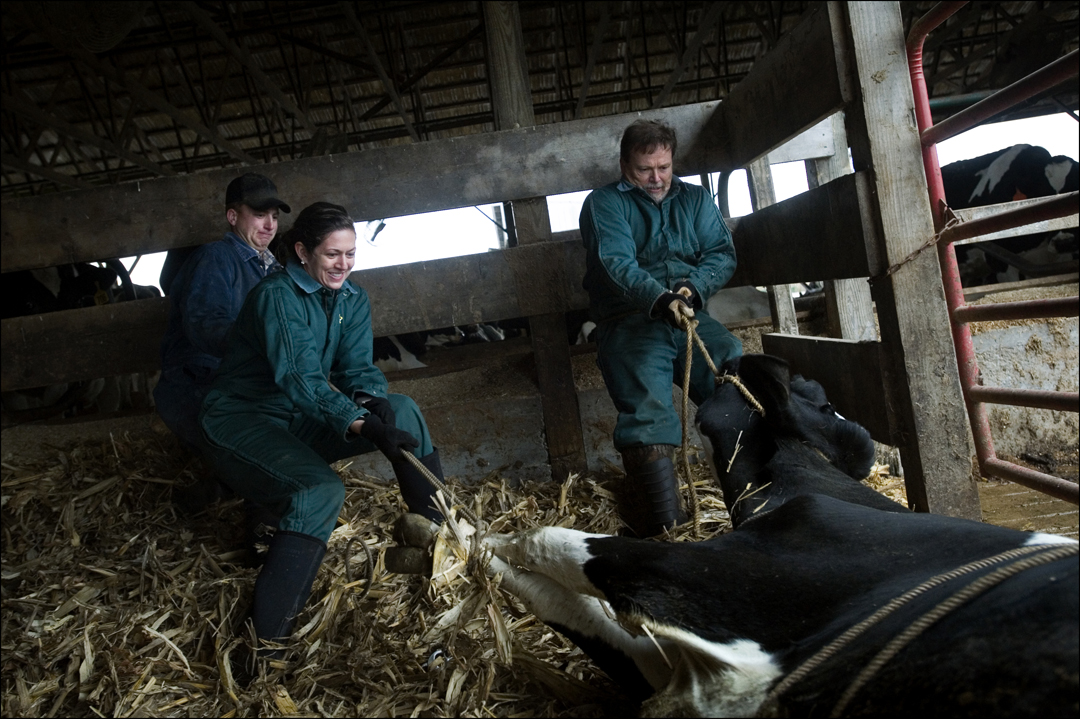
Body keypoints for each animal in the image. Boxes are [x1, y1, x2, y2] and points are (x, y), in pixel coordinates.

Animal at [481, 354, 1080, 716]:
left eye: (820, 396)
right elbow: (569, 602)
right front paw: (473, 544)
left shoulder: (727, 574)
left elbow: (554, 546)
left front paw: (480, 541)